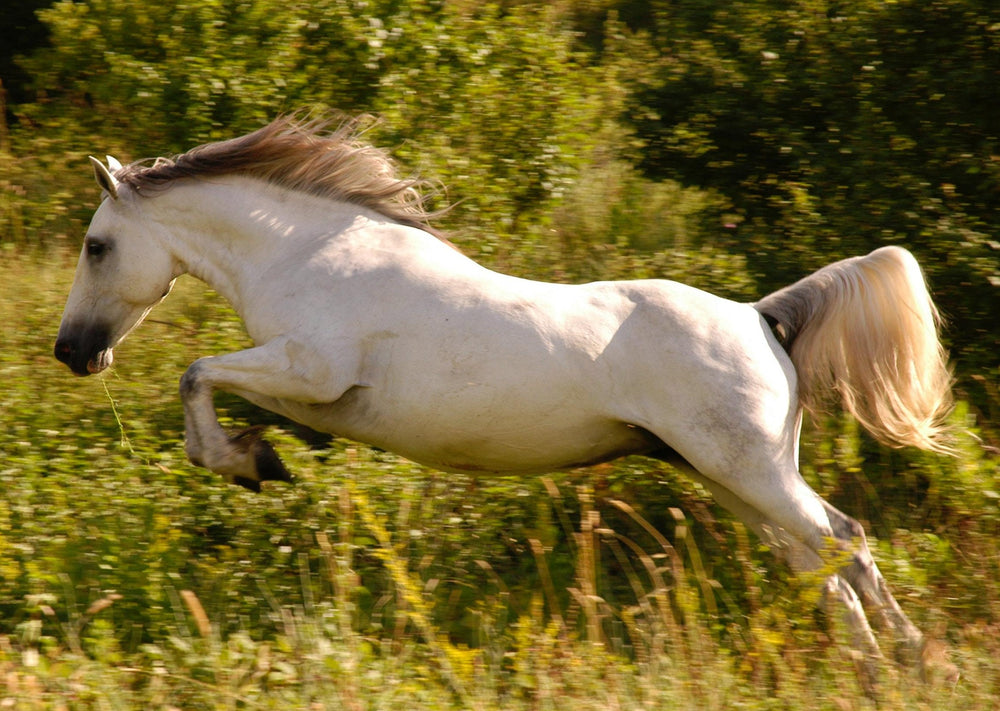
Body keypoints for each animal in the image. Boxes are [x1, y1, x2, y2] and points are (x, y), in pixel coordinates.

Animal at [54, 113, 953, 673]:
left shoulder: (311, 369)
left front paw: (245, 461)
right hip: (731, 477)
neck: (310, 254)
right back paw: (867, 665)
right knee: (819, 562)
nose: (72, 352)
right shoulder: (305, 388)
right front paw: (262, 454)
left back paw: (915, 661)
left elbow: (198, 372)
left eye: (97, 246)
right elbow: (220, 387)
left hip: (750, 472)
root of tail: (761, 316)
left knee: (846, 539)